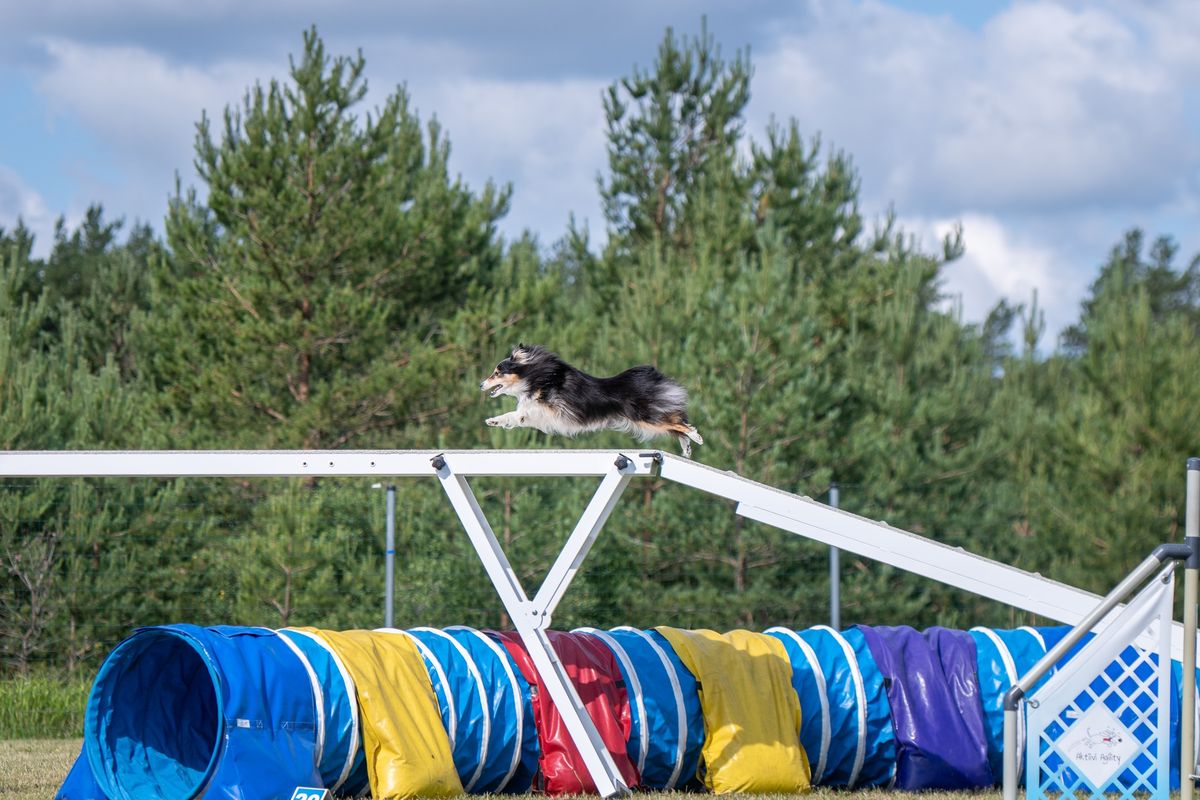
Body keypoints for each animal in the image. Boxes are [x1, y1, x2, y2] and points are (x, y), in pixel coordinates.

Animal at [477, 343, 700, 455]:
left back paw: (695, 436)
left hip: (644, 416)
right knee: (675, 421)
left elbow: (518, 413)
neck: (535, 378)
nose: (480, 384)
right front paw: (493, 421)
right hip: (648, 421)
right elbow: (514, 416)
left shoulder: (546, 409)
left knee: (677, 422)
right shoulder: (534, 413)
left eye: (496, 373)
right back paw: (687, 446)